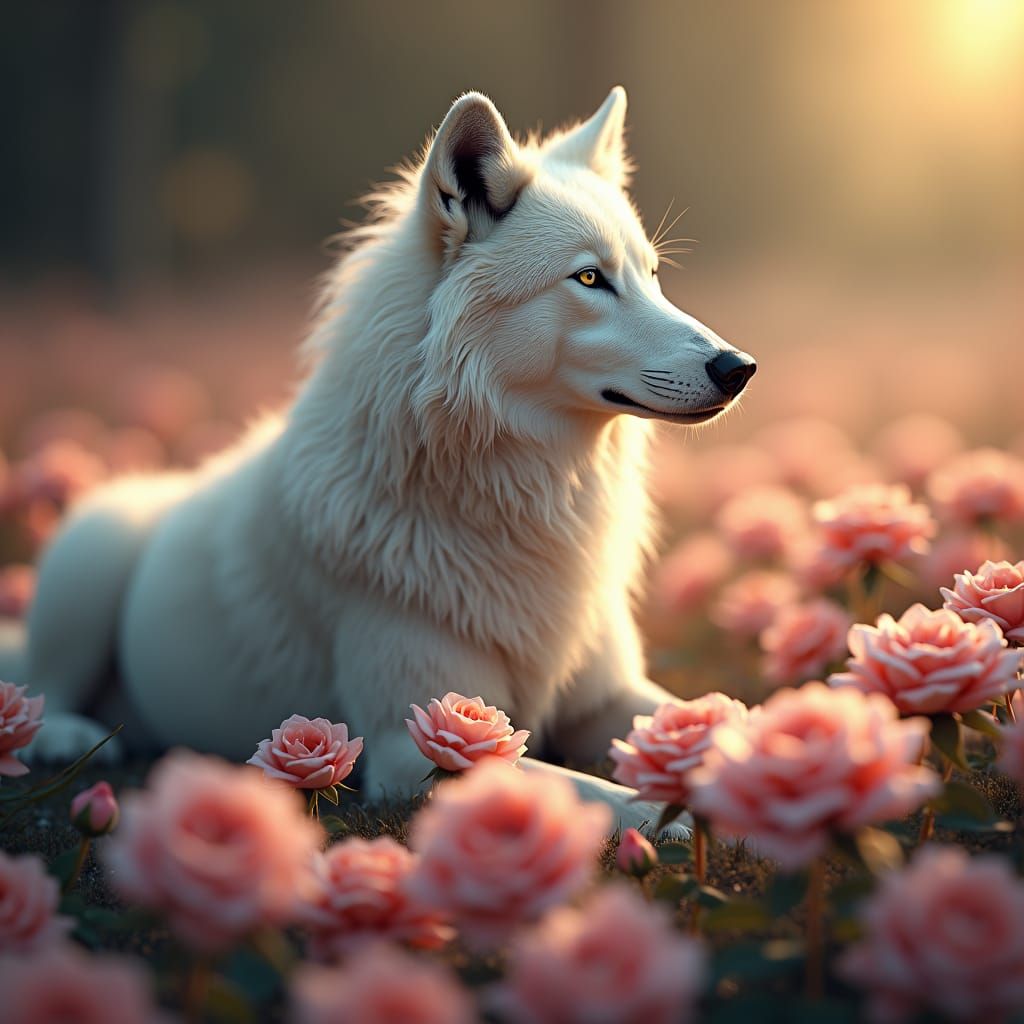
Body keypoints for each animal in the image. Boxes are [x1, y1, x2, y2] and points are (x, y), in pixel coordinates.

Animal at [11, 88, 755, 829]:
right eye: (591, 278)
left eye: (653, 276)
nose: (739, 368)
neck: (522, 492)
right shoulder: (419, 748)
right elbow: (590, 793)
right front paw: (671, 814)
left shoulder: (609, 695)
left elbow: (729, 718)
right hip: (89, 556)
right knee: (39, 687)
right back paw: (69, 736)